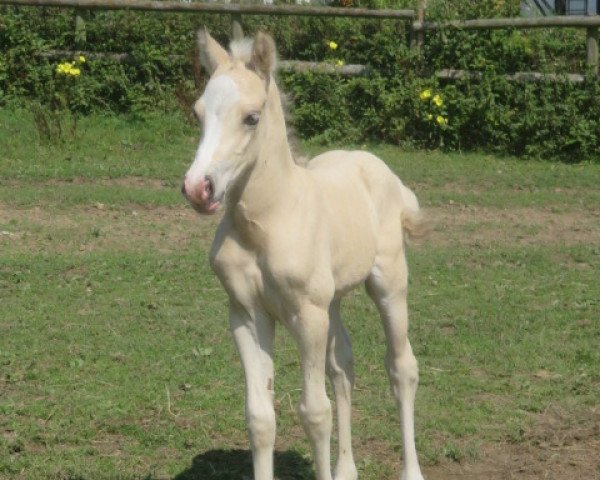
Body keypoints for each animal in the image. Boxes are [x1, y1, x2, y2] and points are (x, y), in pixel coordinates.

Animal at [182, 30, 426, 480]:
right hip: (333, 300)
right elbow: (260, 418)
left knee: (402, 368)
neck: (269, 220)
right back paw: (347, 470)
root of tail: (385, 173)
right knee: (343, 366)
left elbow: (314, 412)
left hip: (388, 283)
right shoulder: (246, 314)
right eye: (199, 113)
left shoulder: (306, 315)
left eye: (251, 117)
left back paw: (412, 471)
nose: (197, 188)